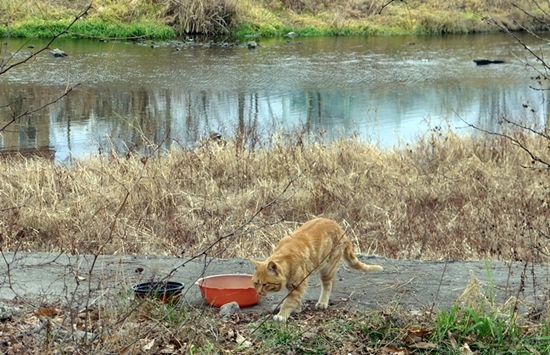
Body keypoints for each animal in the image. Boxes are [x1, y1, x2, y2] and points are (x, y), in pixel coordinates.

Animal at [251, 217, 384, 322]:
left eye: (265, 284)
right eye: (256, 283)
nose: (259, 293)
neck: (286, 257)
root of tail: (339, 227)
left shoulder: (298, 285)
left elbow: (288, 301)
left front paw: (282, 315)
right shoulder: (293, 286)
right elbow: (295, 299)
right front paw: (297, 309)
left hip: (327, 269)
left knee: (327, 286)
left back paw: (323, 303)